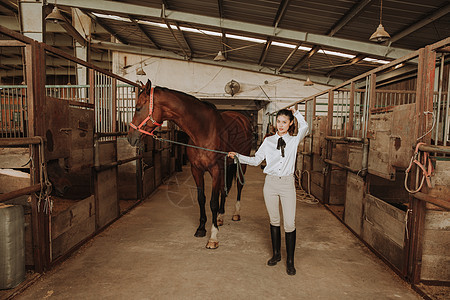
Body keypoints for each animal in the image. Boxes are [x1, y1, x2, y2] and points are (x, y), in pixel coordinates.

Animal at [127, 79, 253, 248]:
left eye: (138, 108)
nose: (130, 137)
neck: (204, 131)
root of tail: (242, 118)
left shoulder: (215, 170)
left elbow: (213, 201)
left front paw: (213, 237)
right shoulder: (197, 170)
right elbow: (202, 199)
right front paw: (201, 228)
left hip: (241, 165)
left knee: (239, 186)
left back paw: (236, 214)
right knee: (224, 190)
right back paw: (220, 217)